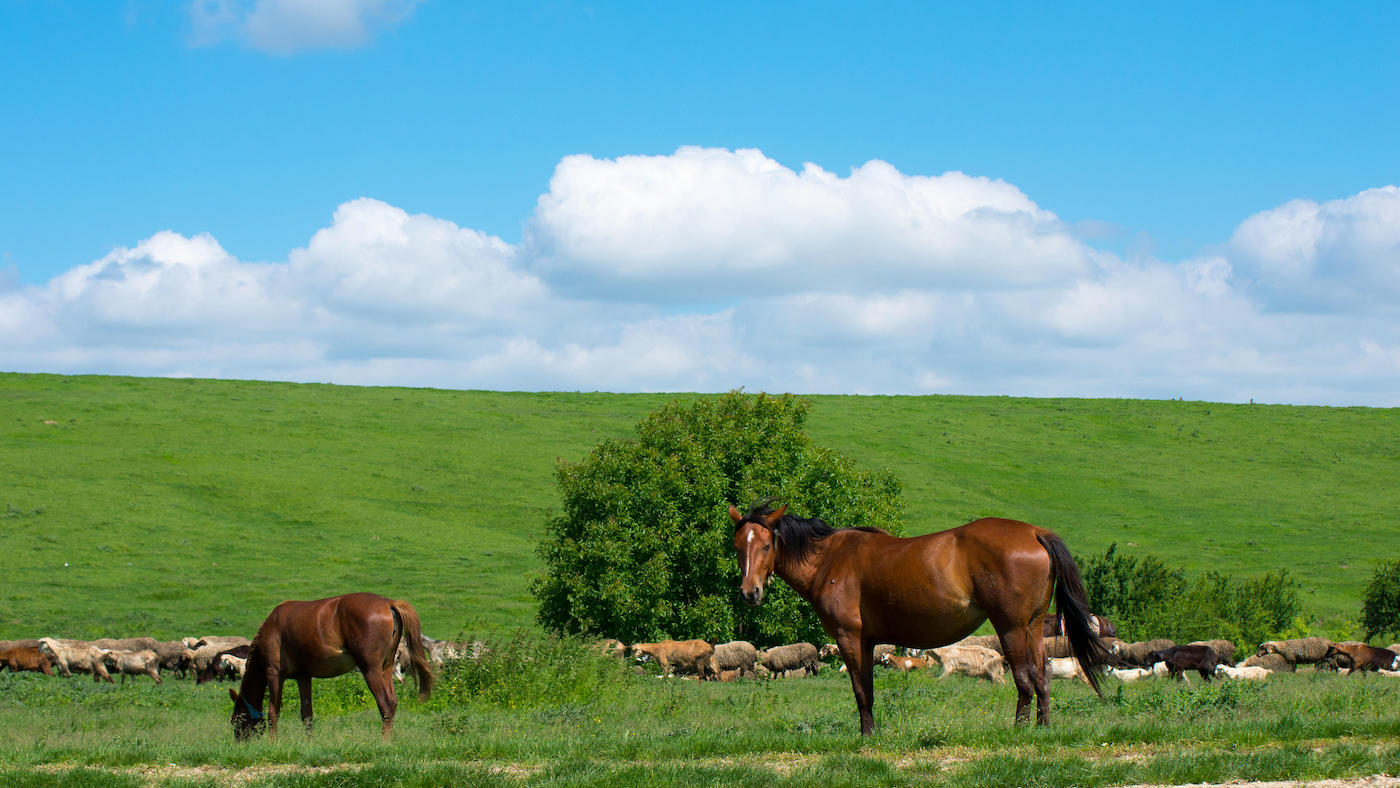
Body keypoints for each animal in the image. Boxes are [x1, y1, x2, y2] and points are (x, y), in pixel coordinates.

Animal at [229, 592, 434, 741]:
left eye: (236, 721)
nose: (239, 743)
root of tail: (388, 603)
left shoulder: (273, 673)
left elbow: (273, 712)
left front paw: (273, 743)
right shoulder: (303, 676)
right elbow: (307, 714)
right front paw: (309, 743)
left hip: (371, 669)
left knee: (386, 703)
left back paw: (384, 742)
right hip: (386, 667)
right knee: (392, 701)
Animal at [731, 501, 1109, 734]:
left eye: (766, 546)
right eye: (737, 547)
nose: (750, 592)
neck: (829, 558)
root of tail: (1033, 532)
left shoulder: (849, 637)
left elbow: (860, 690)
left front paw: (867, 737)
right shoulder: (868, 643)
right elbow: (868, 688)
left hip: (1011, 629)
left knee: (1025, 679)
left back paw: (1018, 730)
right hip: (1032, 629)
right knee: (1043, 677)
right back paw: (1042, 729)